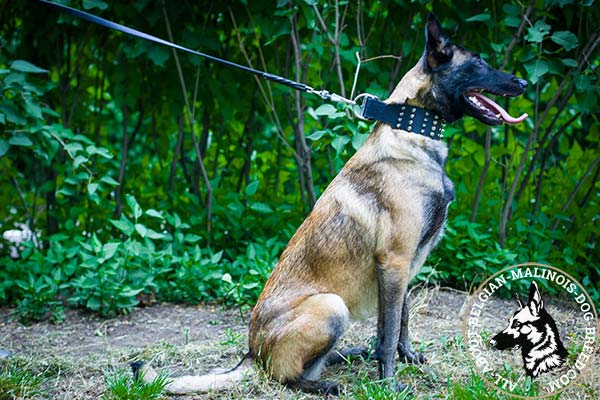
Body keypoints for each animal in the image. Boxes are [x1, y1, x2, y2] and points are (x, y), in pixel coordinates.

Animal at [135, 13, 524, 396]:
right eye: (479, 63)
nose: (521, 82)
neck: (412, 133)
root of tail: (252, 354)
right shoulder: (395, 260)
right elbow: (388, 333)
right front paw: (389, 383)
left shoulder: (404, 265)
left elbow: (400, 320)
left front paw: (407, 358)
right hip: (331, 307)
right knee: (284, 376)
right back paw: (324, 384)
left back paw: (349, 354)